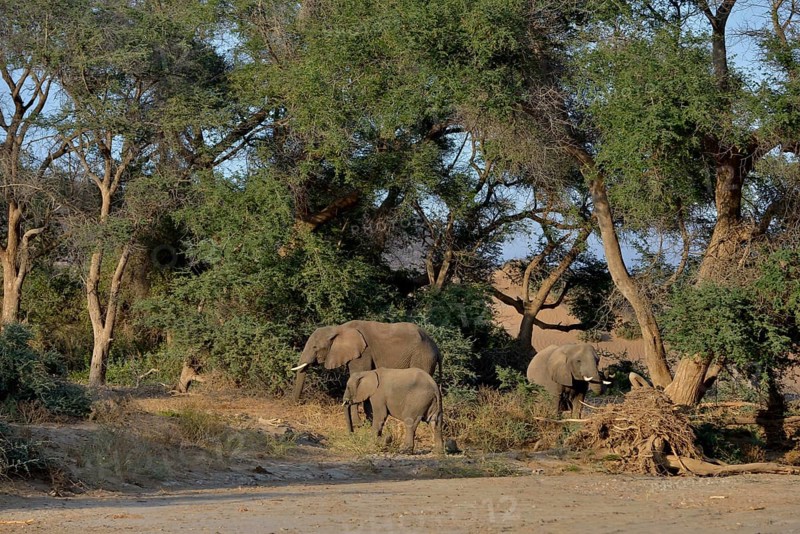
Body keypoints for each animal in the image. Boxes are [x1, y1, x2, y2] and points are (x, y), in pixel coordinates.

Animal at [290, 320, 442, 432]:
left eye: (315, 347)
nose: (297, 403)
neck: (339, 328)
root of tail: (436, 347)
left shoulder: (363, 352)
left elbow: (358, 373)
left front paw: (358, 424)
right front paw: (368, 421)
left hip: (423, 357)